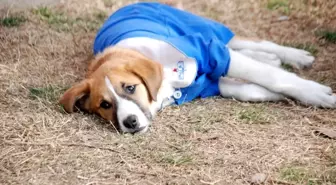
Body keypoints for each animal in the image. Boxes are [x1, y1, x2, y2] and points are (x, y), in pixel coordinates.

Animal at [59, 2, 334, 134]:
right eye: (104, 105)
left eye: (130, 87)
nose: (130, 122)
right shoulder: (205, 84)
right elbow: (248, 89)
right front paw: (275, 95)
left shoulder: (210, 52)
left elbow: (270, 76)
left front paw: (316, 94)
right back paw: (269, 58)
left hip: (203, 27)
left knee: (246, 42)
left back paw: (296, 56)